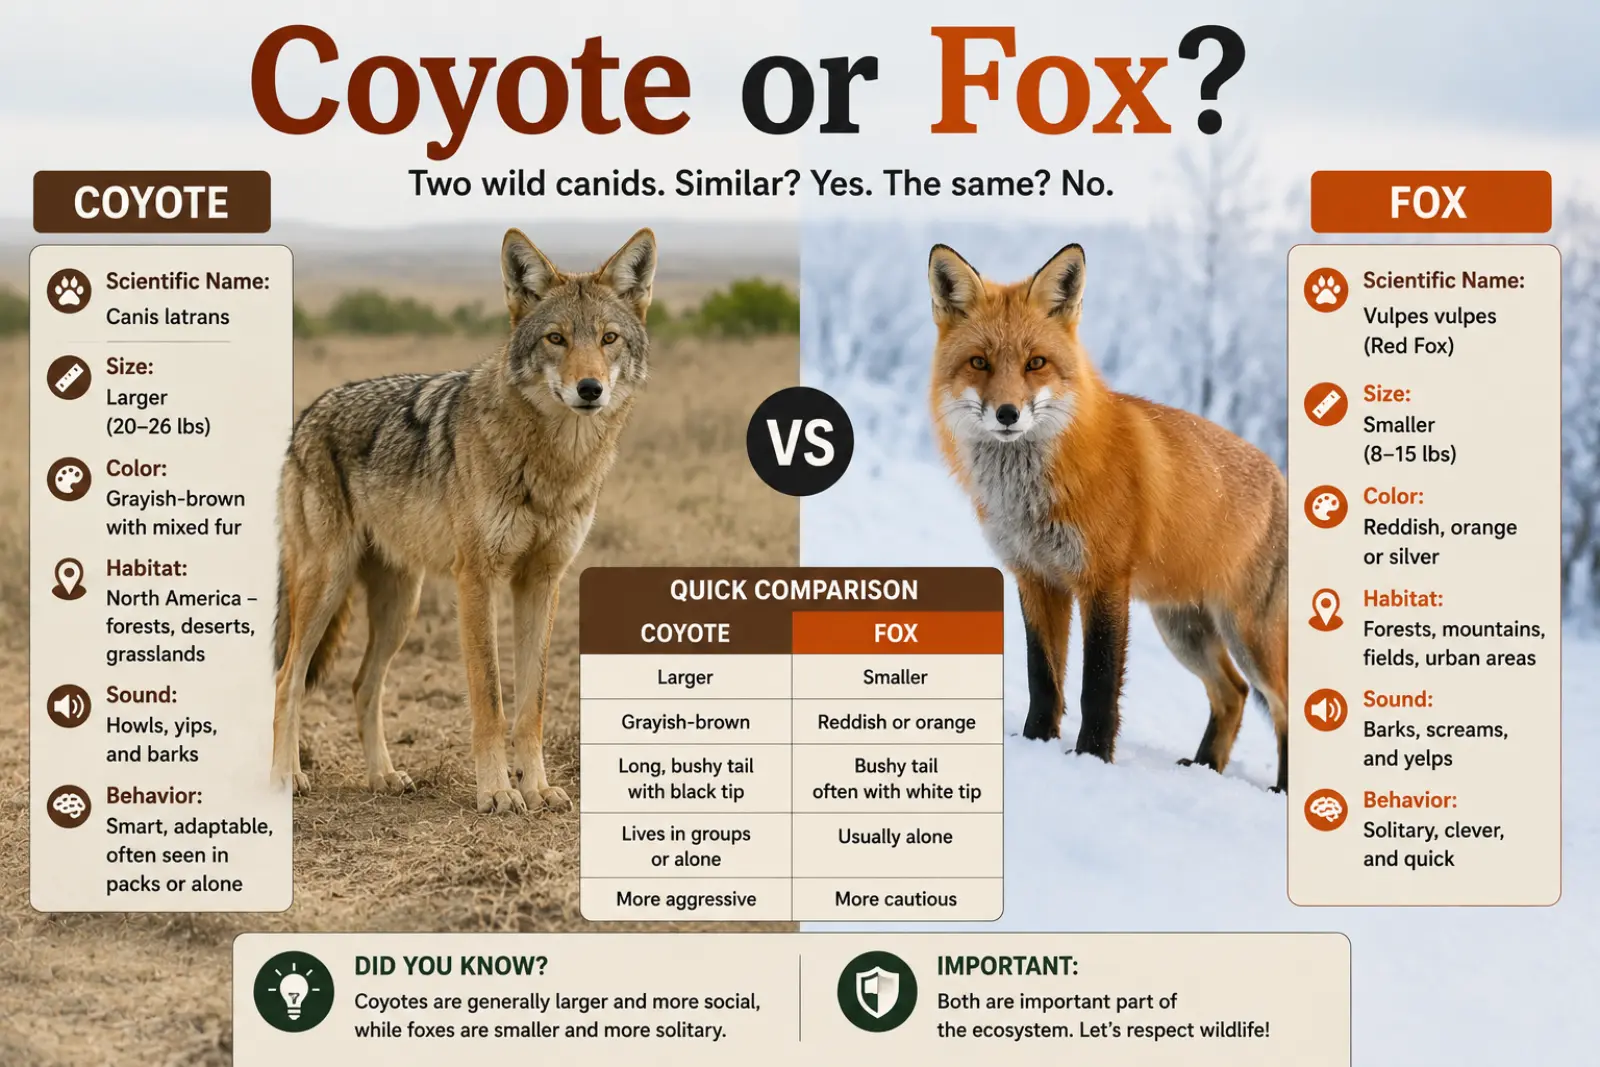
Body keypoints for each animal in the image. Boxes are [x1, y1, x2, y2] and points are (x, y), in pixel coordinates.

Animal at [270, 227, 657, 814]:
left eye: (608, 339)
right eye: (557, 339)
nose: (590, 389)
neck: (553, 466)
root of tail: (308, 415)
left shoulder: (542, 581)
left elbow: (531, 705)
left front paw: (537, 788)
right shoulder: (477, 579)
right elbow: (490, 700)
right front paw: (497, 792)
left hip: (400, 607)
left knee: (362, 685)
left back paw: (383, 777)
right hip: (326, 586)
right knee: (287, 678)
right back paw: (287, 777)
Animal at [927, 241, 1290, 792]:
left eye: (1036, 363)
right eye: (979, 362)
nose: (1008, 413)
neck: (1031, 496)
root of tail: (1280, 476)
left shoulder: (1103, 580)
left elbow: (1096, 686)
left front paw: (1092, 758)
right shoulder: (1036, 577)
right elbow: (1043, 678)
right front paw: (1036, 742)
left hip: (1248, 636)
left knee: (1287, 707)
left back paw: (1283, 788)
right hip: (1183, 628)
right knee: (1233, 694)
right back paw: (1205, 766)